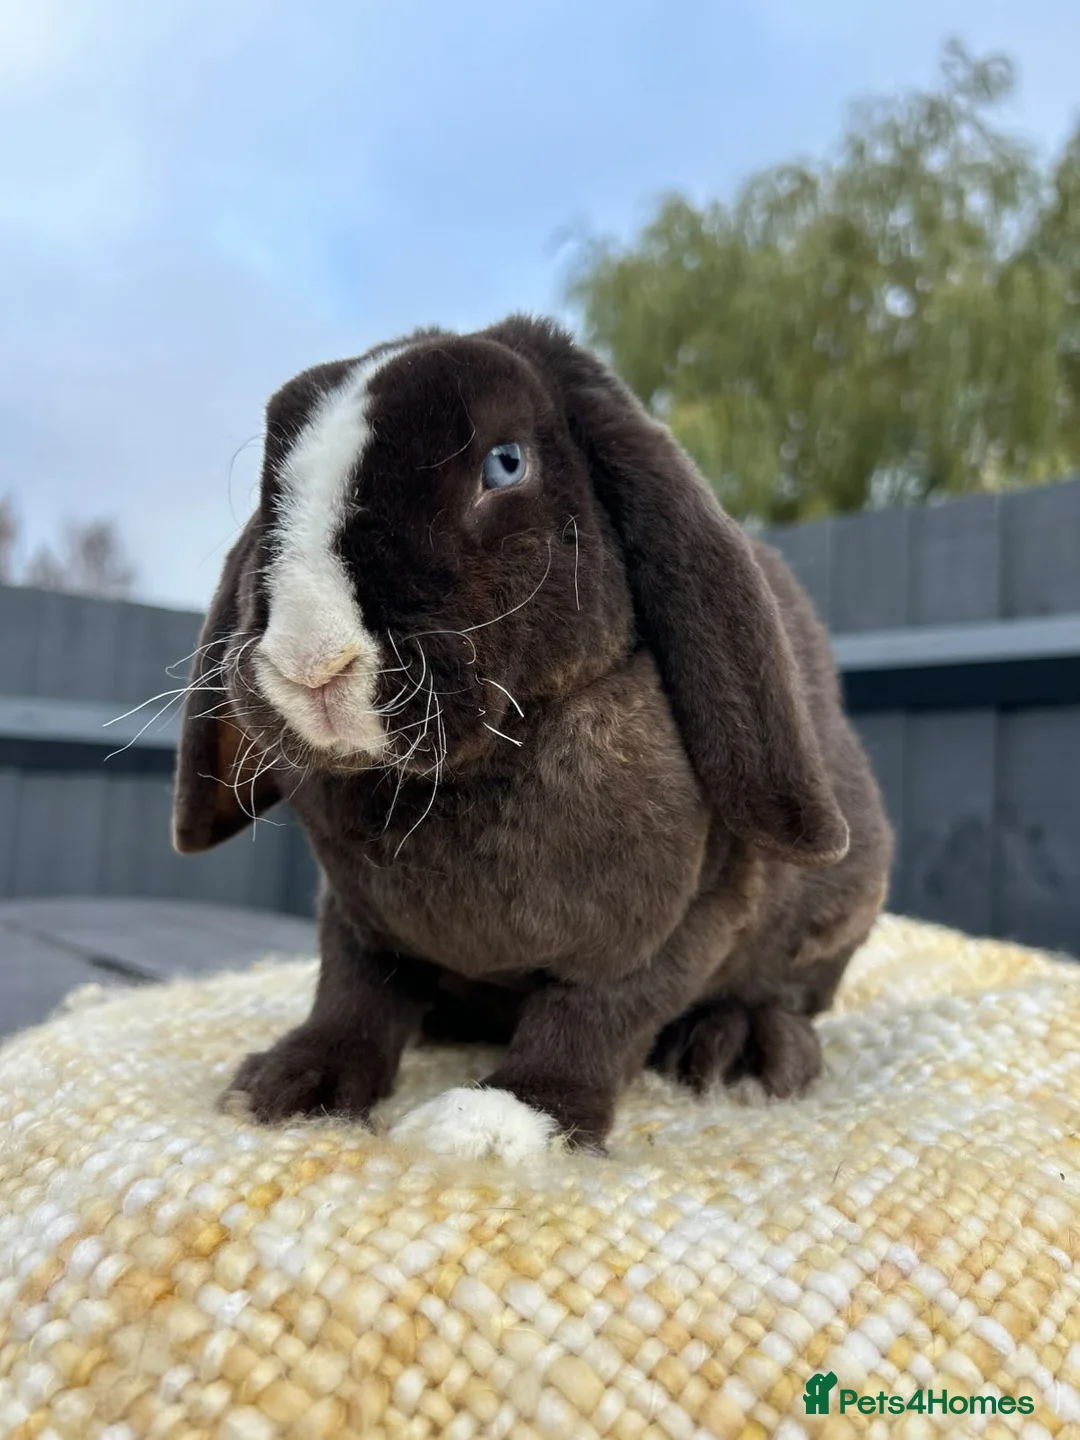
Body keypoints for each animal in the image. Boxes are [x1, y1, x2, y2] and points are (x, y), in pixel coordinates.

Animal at [172, 315, 892, 1159]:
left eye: (506, 463)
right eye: (272, 490)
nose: (310, 659)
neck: (458, 778)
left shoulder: (683, 920)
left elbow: (598, 1014)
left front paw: (497, 1122)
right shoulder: (356, 916)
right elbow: (353, 990)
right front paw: (289, 1085)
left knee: (784, 996)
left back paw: (741, 1050)